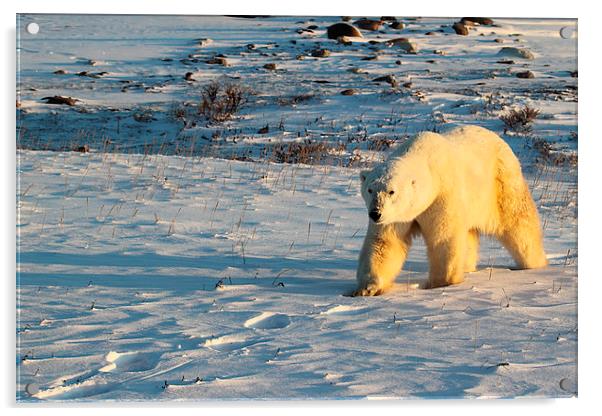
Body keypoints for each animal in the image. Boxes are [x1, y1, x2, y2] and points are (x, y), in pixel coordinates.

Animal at [354, 124, 548, 296]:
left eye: (392, 191)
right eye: (370, 189)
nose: (375, 213)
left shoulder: (443, 194)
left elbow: (444, 237)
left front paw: (442, 283)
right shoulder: (396, 216)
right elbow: (385, 242)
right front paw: (368, 288)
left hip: (501, 183)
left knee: (518, 223)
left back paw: (534, 263)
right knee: (468, 235)